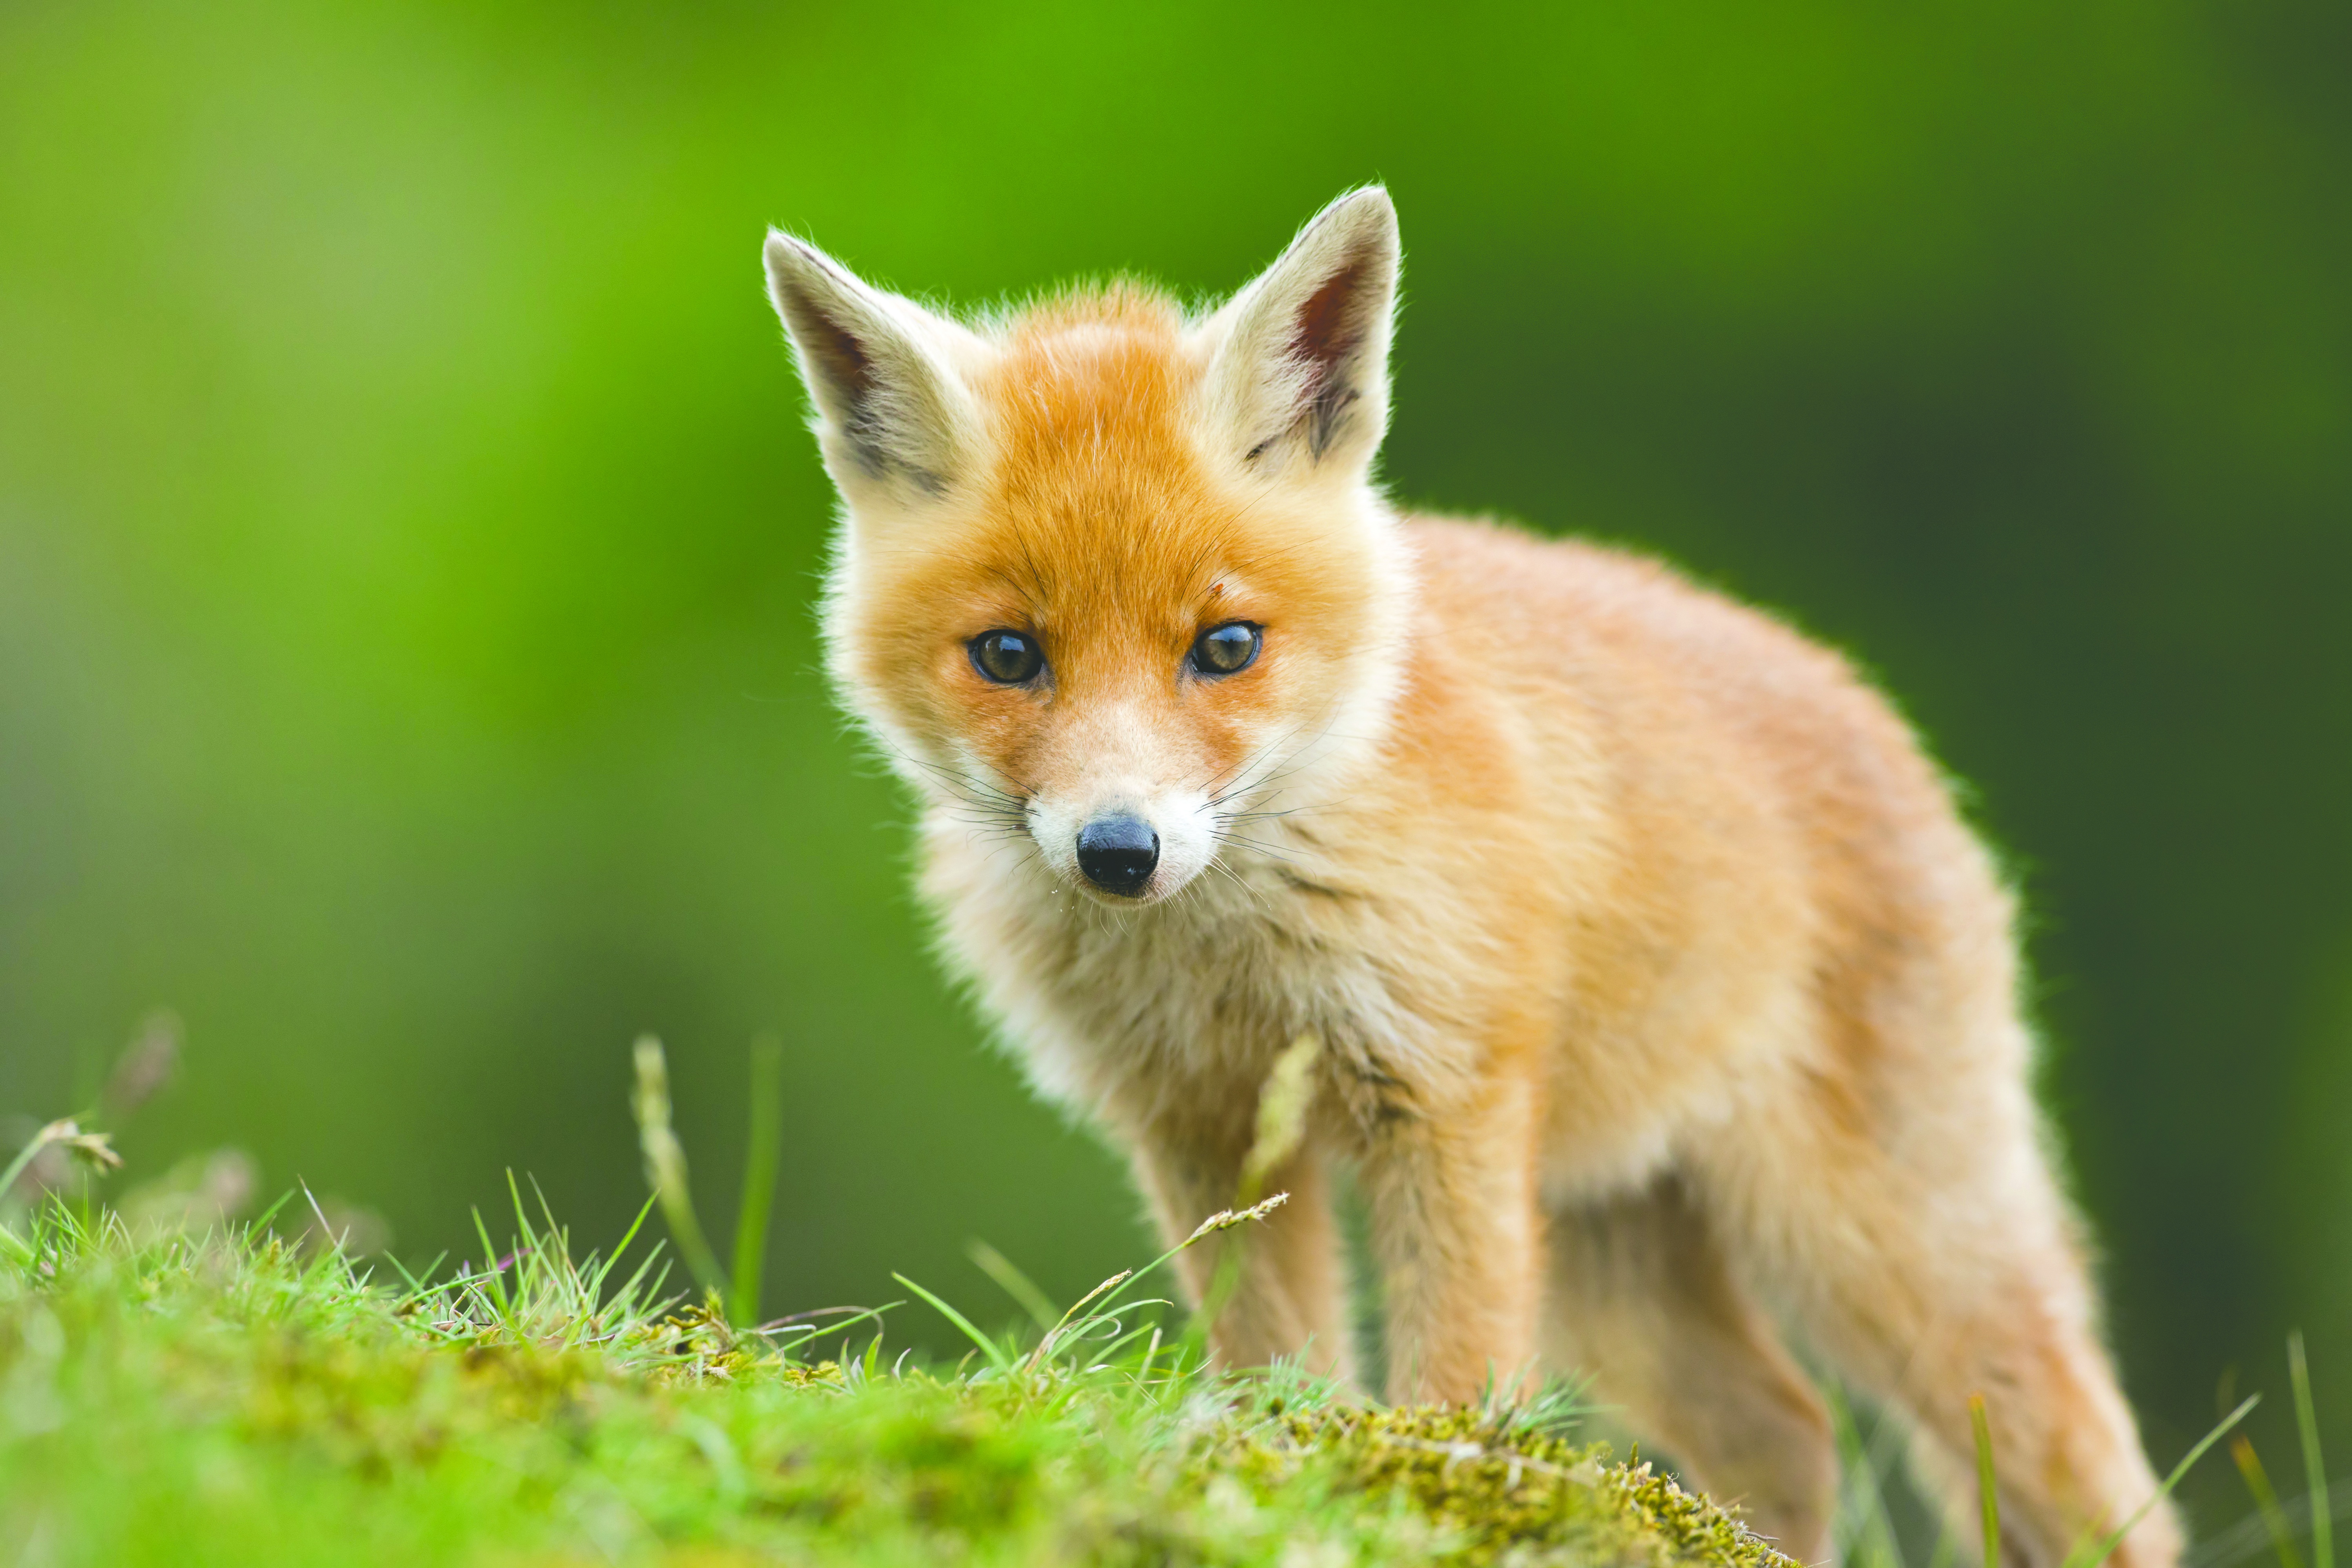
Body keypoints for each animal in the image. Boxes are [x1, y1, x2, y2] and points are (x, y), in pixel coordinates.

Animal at [762, 187, 2173, 1568]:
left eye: (1227, 646)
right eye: (1009, 655)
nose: (1120, 851)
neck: (1228, 958)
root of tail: (1877, 711)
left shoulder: (1441, 1095)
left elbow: (1450, 1386)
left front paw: (1434, 1501)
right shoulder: (1204, 1125)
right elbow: (1279, 1367)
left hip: (1875, 1246)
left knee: (2098, 1475)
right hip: (1617, 1259)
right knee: (1789, 1428)